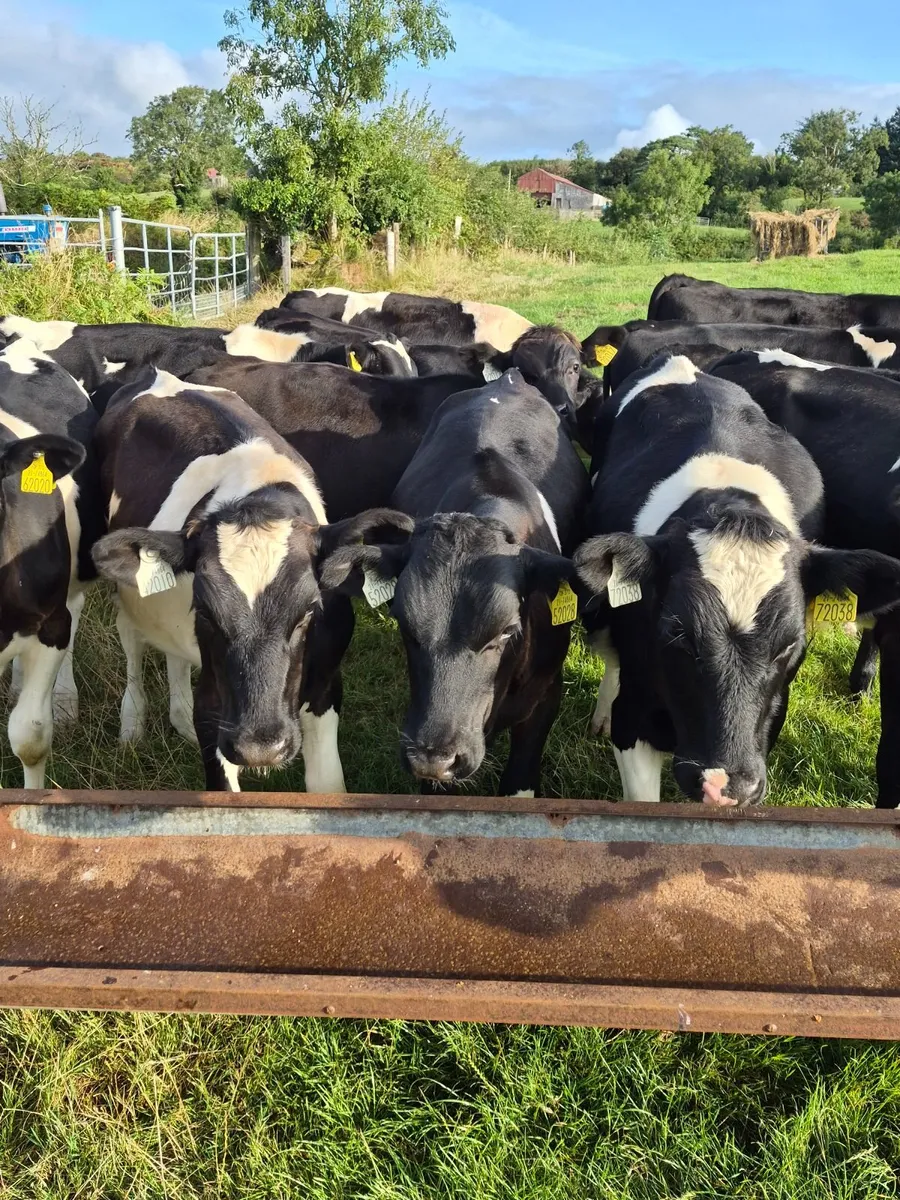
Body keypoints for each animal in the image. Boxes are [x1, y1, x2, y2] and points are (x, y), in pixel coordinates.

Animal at [90, 366, 409, 792]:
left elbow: (327, 786)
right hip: (123, 589)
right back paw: (132, 725)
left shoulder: (326, 682)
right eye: (207, 611)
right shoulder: (215, 706)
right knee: (131, 639)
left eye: (309, 612)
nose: (261, 747)